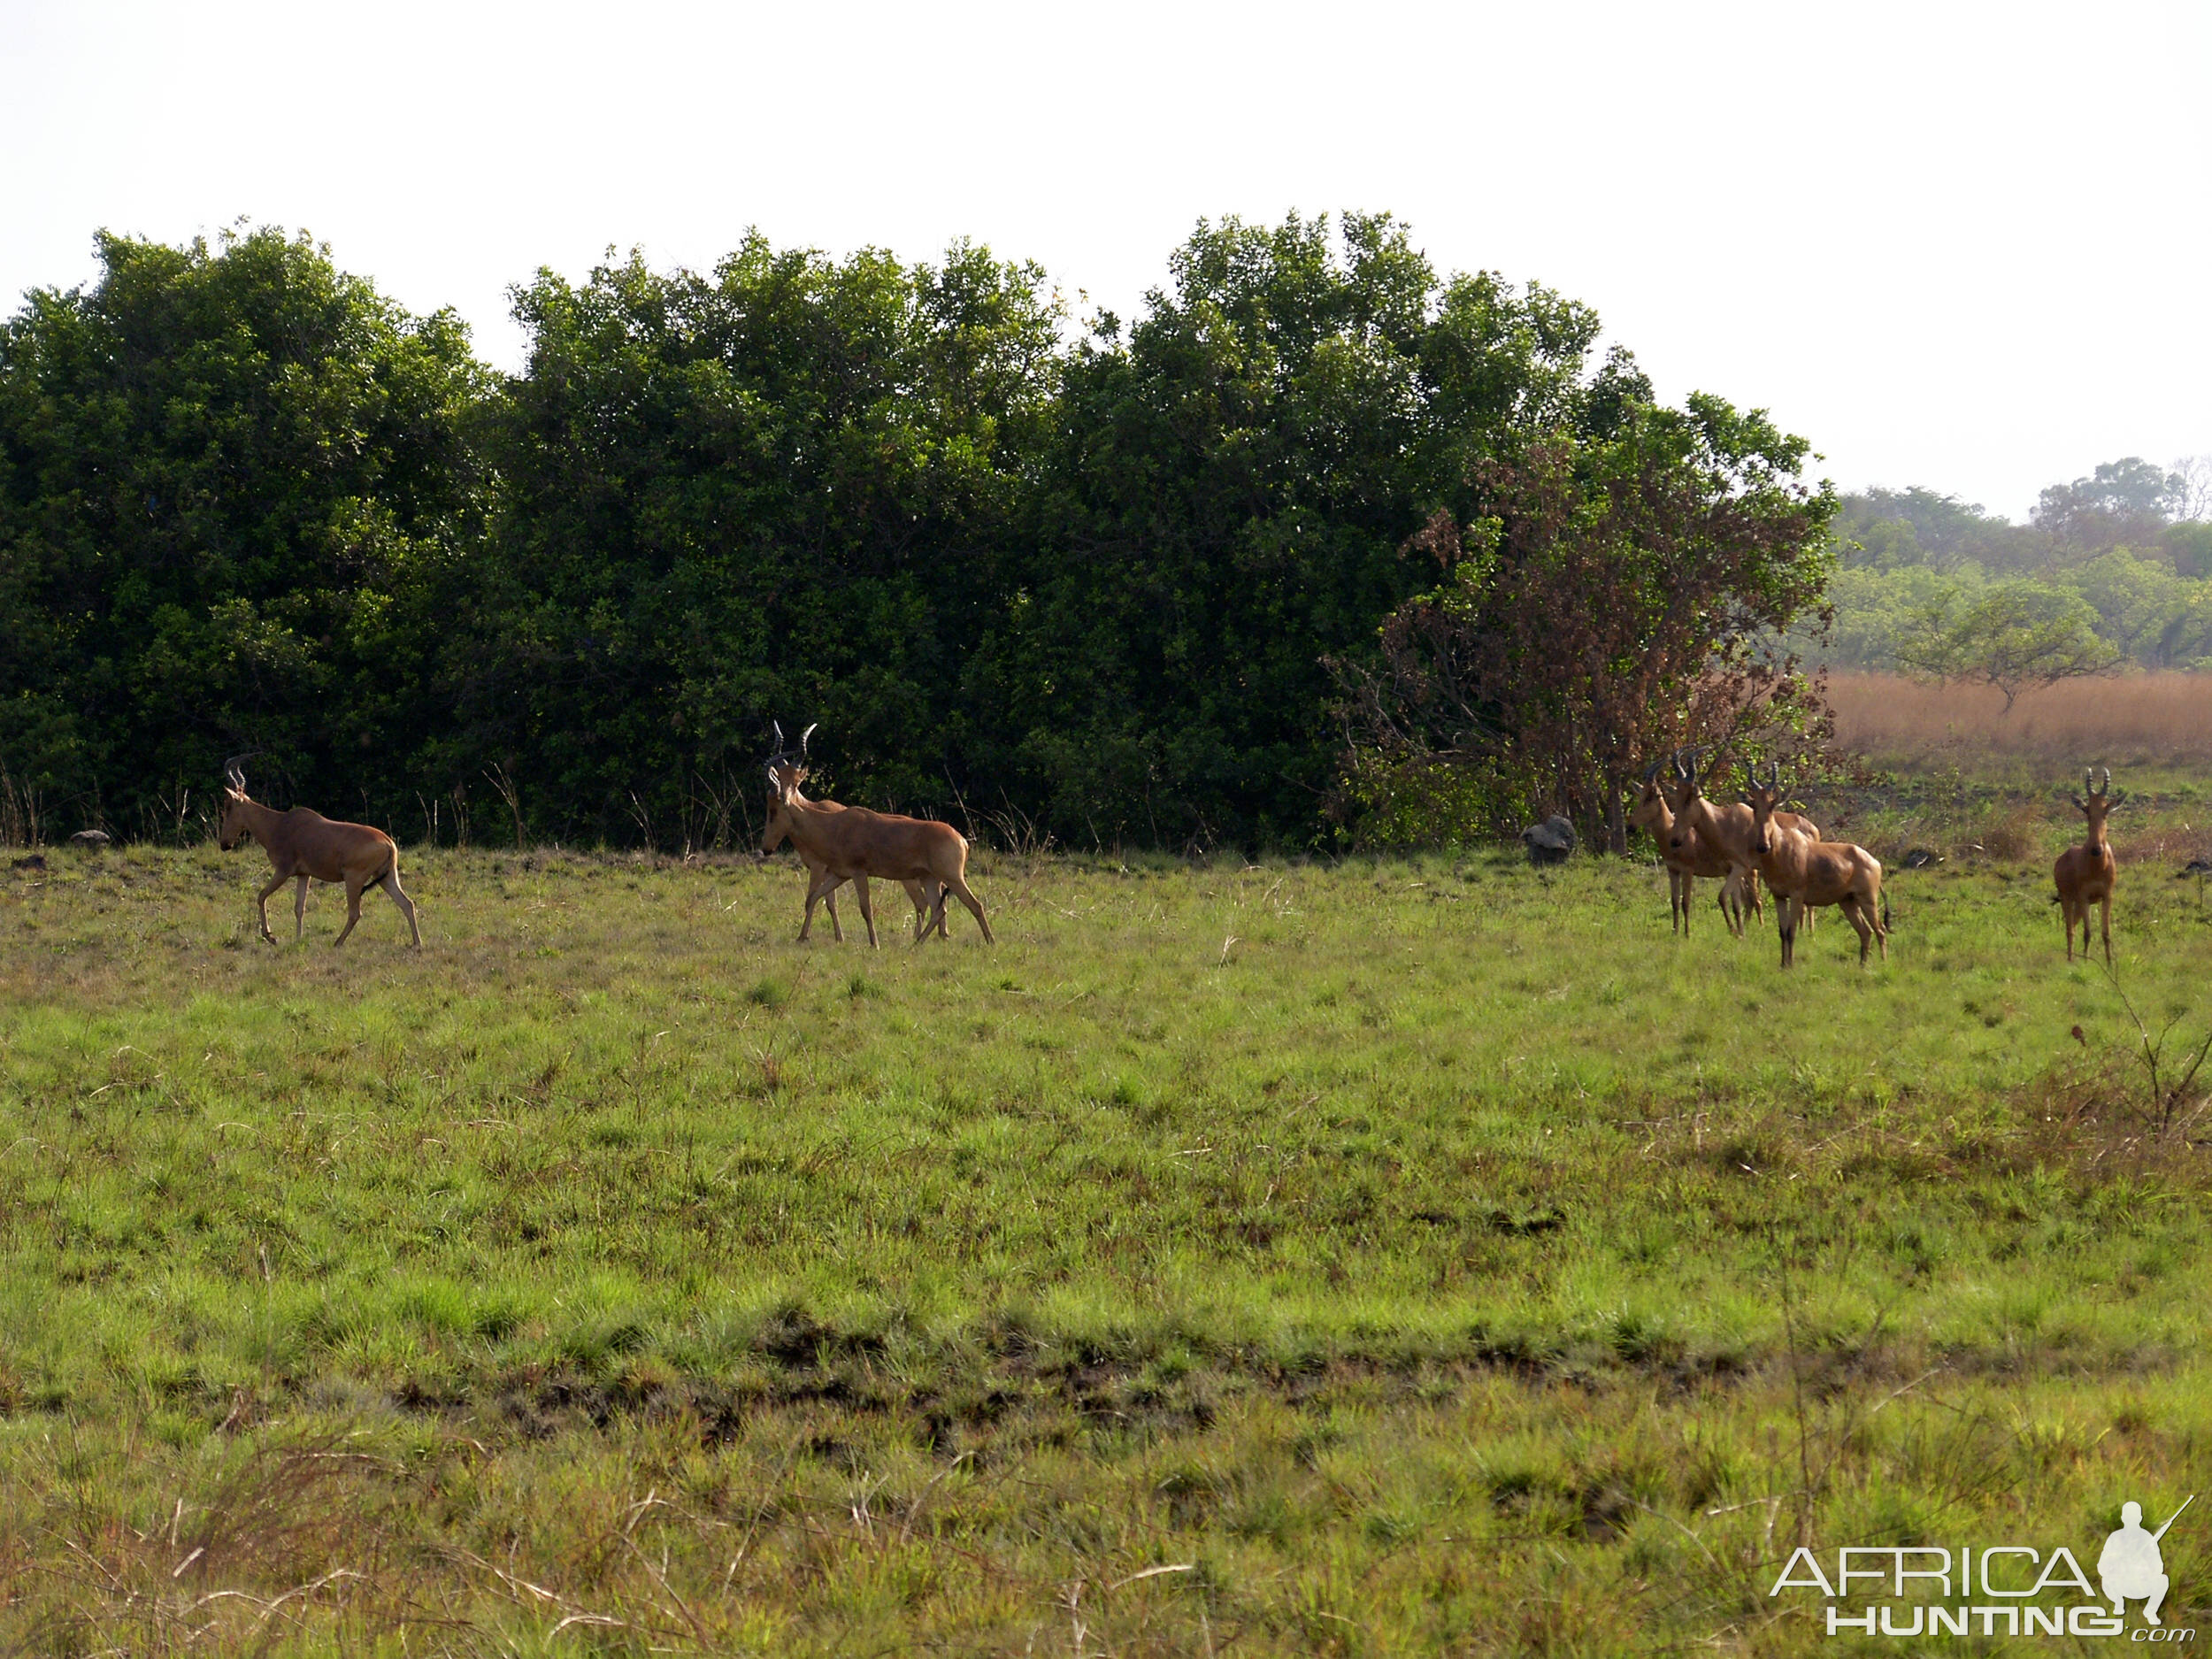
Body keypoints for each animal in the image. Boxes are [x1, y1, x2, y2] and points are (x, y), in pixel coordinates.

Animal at [217, 757, 422, 947]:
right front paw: (298, 939)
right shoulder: (304, 874)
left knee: (355, 913)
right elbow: (299, 908)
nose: (224, 844)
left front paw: (271, 937)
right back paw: (417, 944)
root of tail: (388, 843)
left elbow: (261, 896)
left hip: (354, 879)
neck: (279, 824)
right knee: (407, 904)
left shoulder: (283, 871)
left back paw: (337, 943)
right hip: (388, 877)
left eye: (228, 806)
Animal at [770, 730, 995, 947]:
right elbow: (814, 897)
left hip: (952, 877)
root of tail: (962, 840)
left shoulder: (858, 873)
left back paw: (990, 942)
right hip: (930, 879)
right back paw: (917, 943)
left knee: (974, 905)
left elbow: (865, 908)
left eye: (774, 810)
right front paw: (802, 938)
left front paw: (874, 944)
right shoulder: (840, 875)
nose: (767, 848)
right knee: (938, 909)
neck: (836, 823)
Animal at [1743, 765, 1885, 969]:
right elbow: (1782, 931)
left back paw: (1883, 963)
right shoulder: (1779, 896)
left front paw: (1790, 966)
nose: (1763, 846)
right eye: (1754, 806)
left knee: (1880, 930)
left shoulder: (1796, 896)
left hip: (1868, 899)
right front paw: (1783, 964)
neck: (1783, 846)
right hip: (1848, 901)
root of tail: (1874, 861)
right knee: (1866, 931)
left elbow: (1791, 931)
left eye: (1772, 805)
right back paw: (1862, 966)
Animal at [2053, 765, 2124, 960]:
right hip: (2067, 898)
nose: (2096, 850)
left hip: (2080, 903)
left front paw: (2109, 962)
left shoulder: (2107, 896)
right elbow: (2088, 933)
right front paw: (2085, 962)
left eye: (2106, 811)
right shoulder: (2084, 897)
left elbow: (2106, 934)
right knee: (2070, 930)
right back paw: (2070, 960)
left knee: (2074, 926)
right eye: (2087, 811)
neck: (2098, 867)